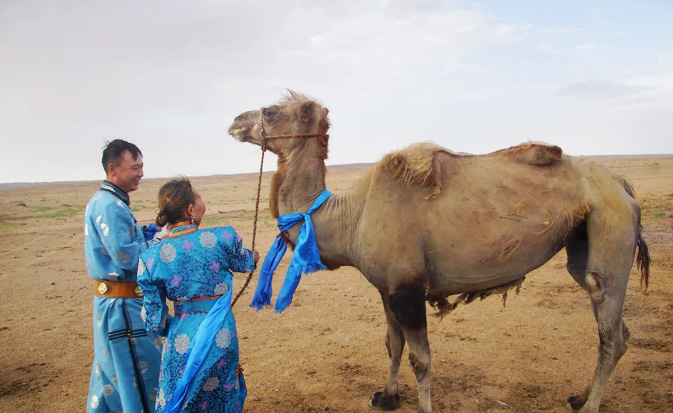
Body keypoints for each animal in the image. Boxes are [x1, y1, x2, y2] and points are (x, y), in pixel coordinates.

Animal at [228, 91, 648, 412]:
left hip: (610, 223)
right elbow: (393, 344)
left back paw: (590, 406)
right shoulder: (387, 287)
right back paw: (579, 397)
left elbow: (421, 359)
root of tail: (623, 184)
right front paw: (386, 397)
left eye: (269, 111)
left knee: (608, 324)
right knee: (616, 326)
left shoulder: (409, 287)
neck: (351, 216)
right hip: (582, 239)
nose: (234, 121)